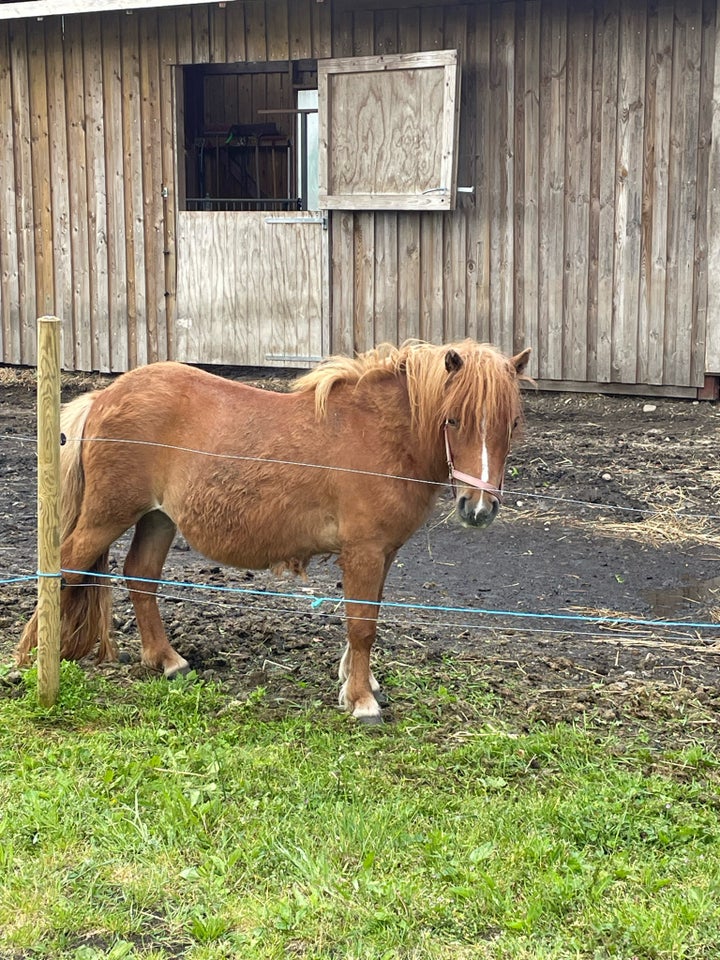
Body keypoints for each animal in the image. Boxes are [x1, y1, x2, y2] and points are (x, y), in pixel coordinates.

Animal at [18, 338, 528, 720]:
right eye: (453, 418)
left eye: (513, 422)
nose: (478, 509)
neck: (380, 435)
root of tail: (103, 397)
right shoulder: (364, 551)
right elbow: (362, 625)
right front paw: (362, 701)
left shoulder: (382, 553)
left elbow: (367, 619)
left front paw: (356, 683)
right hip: (108, 515)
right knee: (66, 569)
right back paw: (28, 663)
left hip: (158, 518)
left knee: (140, 576)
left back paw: (168, 661)